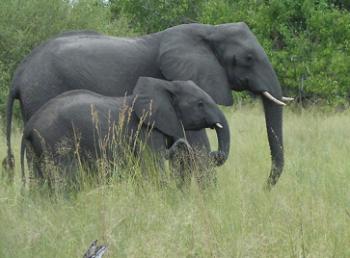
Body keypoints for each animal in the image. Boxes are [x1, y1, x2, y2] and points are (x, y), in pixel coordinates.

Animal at [21, 77, 230, 185]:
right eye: (200, 104)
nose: (215, 153)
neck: (165, 85)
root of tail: (29, 126)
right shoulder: (145, 131)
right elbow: (153, 168)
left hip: (36, 149)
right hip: (56, 142)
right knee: (66, 180)